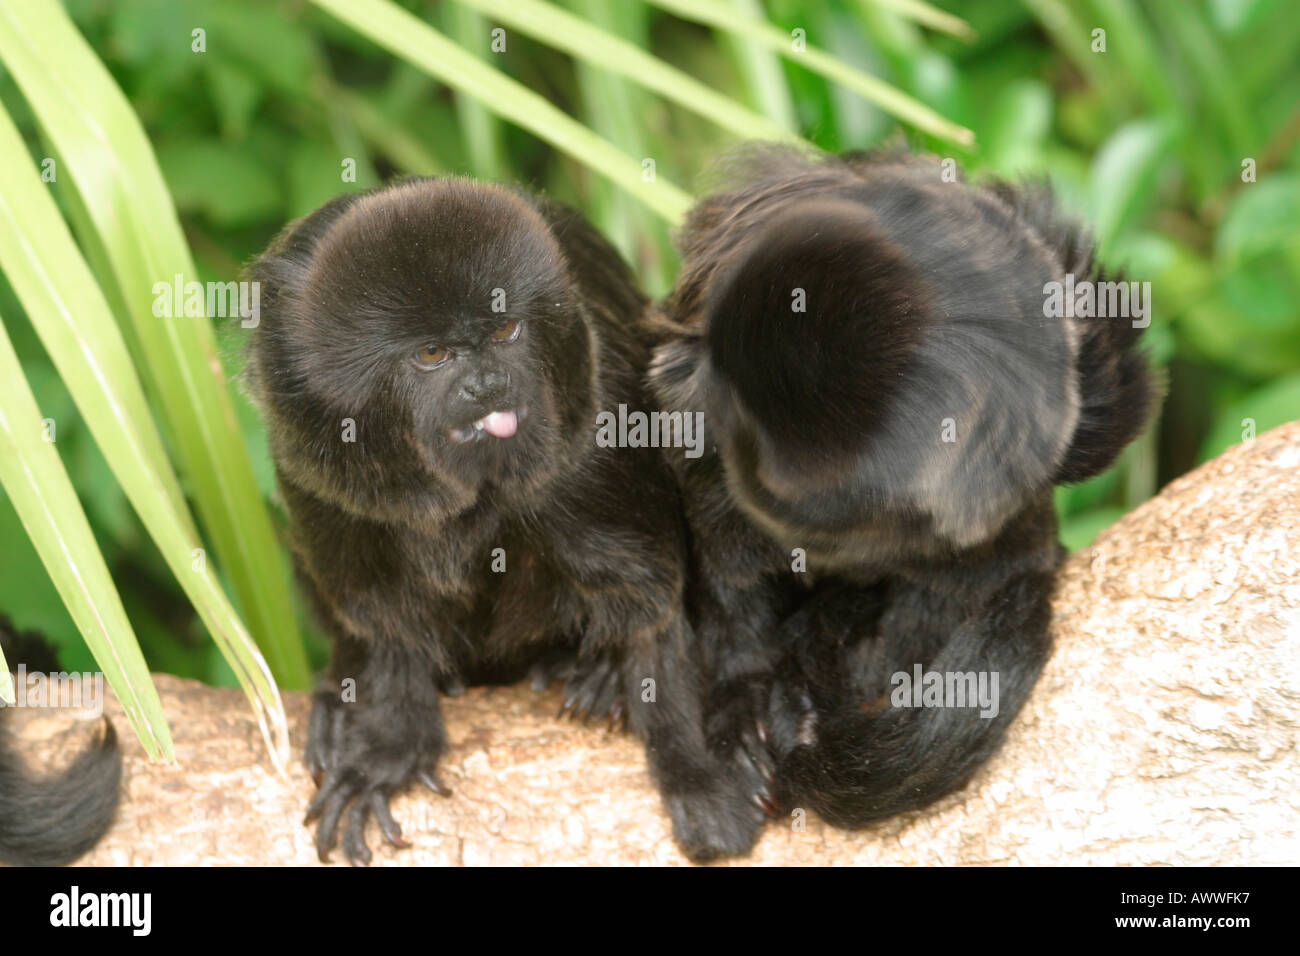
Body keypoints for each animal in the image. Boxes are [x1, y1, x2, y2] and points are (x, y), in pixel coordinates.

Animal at [244, 178, 759, 868]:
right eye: (433, 353)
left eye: (506, 330)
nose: (487, 383)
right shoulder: (312, 471)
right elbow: (378, 619)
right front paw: (388, 746)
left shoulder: (592, 437)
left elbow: (647, 606)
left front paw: (691, 770)